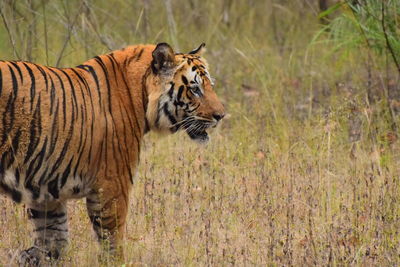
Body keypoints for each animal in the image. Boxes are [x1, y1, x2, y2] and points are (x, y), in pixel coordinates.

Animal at [0, 42, 225, 266]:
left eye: (209, 85)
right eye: (195, 89)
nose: (221, 116)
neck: (139, 94)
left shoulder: (48, 193)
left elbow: (53, 244)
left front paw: (28, 256)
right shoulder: (113, 185)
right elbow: (113, 243)